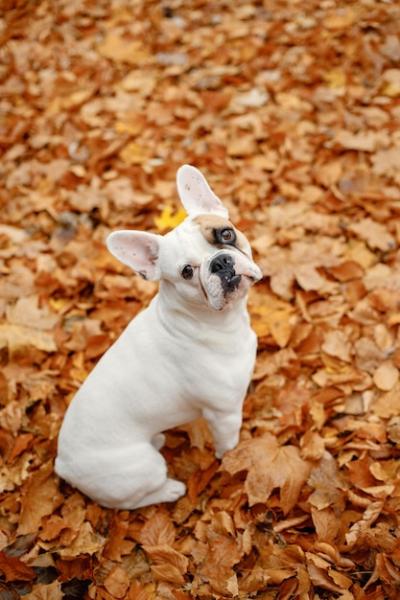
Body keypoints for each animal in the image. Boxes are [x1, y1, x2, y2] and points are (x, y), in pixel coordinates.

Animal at [55, 166, 262, 508]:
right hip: (144, 468)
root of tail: (63, 465)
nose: (220, 262)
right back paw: (171, 490)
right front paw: (233, 458)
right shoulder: (225, 414)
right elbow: (228, 445)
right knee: (131, 502)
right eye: (187, 272)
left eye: (226, 234)